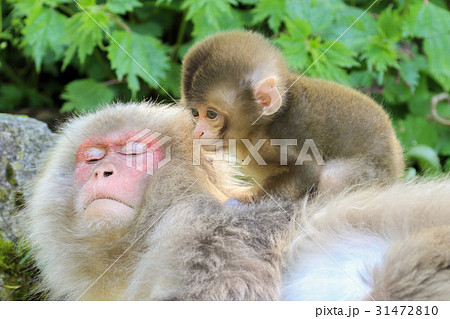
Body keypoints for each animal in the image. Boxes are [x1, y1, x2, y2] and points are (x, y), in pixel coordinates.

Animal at [180, 30, 404, 200]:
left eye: (211, 114)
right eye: (195, 113)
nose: (198, 132)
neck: (263, 126)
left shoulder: (279, 140)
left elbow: (309, 171)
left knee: (332, 178)